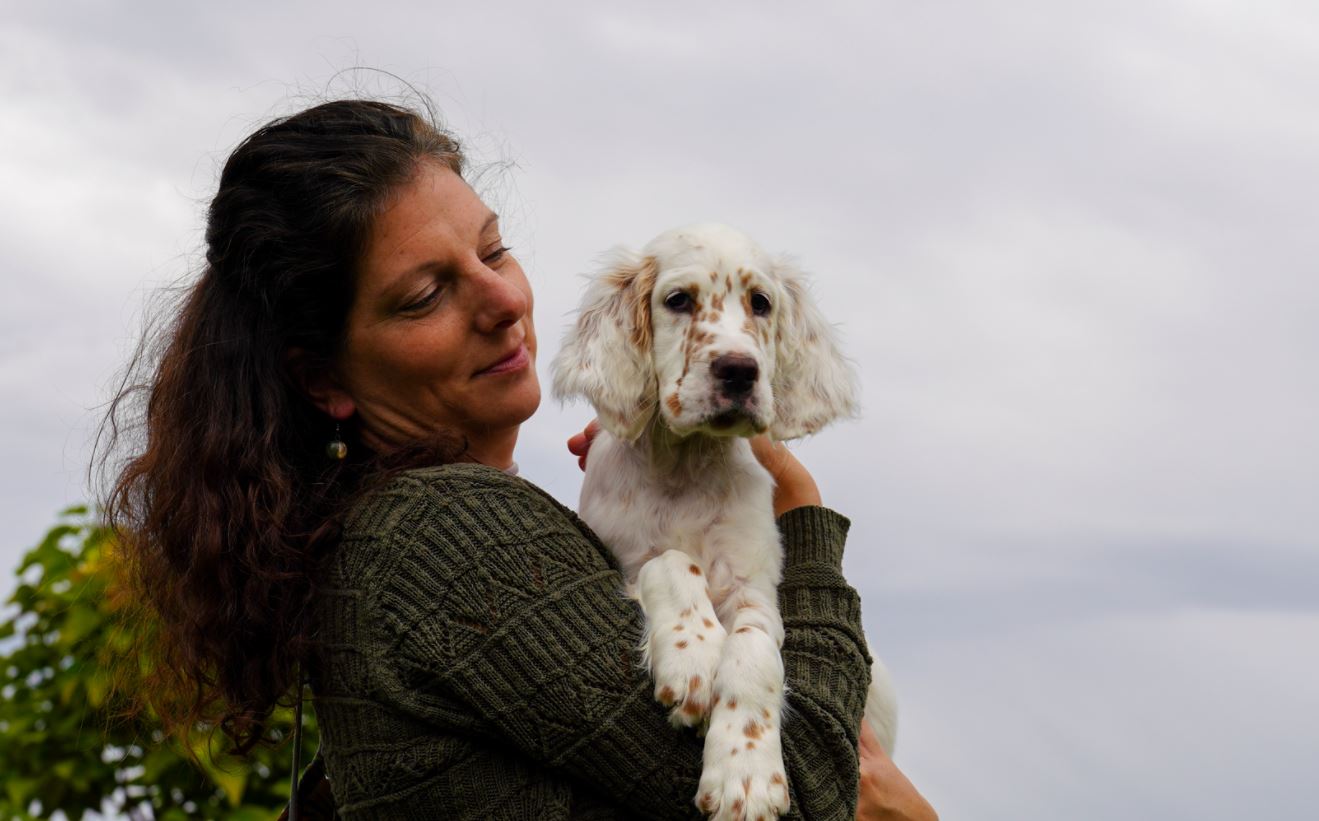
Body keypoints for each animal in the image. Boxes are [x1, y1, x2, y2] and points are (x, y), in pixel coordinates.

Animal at [551, 221, 902, 818]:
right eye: (678, 300)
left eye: (761, 303)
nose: (740, 371)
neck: (687, 465)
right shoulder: (625, 558)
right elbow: (671, 561)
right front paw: (693, 656)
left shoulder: (753, 587)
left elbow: (755, 653)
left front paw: (747, 773)